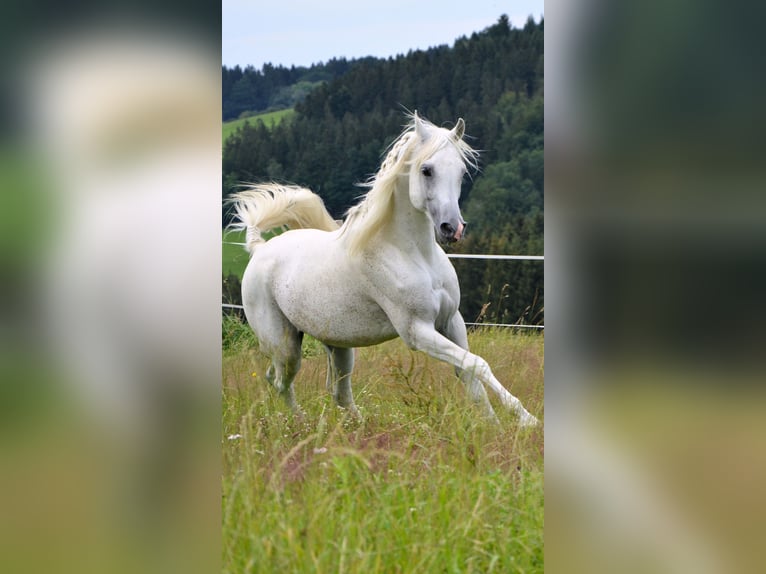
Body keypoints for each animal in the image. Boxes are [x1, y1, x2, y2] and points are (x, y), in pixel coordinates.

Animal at [228, 115, 540, 428]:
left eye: (462, 172)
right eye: (426, 170)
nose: (452, 228)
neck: (414, 255)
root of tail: (259, 248)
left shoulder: (452, 321)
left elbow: (469, 373)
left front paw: (495, 427)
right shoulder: (417, 331)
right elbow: (478, 363)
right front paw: (527, 420)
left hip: (339, 347)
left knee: (337, 392)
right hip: (285, 345)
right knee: (280, 381)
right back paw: (303, 425)